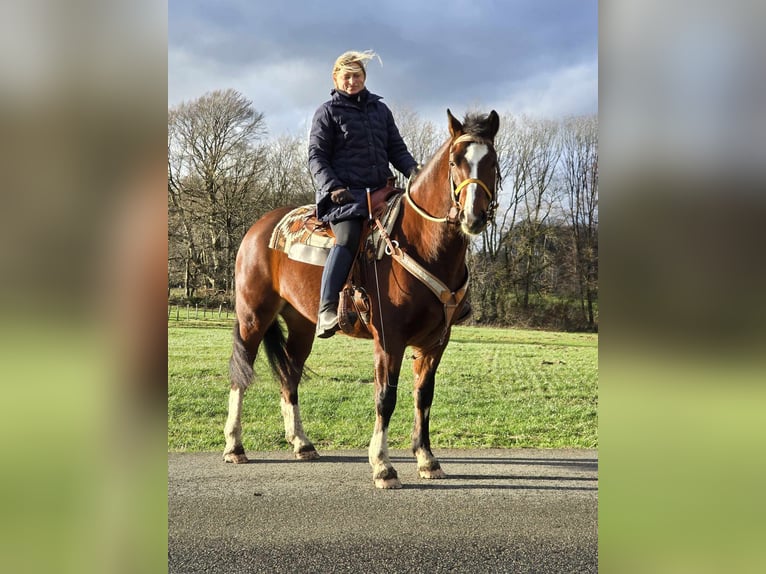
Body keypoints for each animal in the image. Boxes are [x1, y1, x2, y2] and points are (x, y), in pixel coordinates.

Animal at [224, 109, 498, 490]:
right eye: (455, 161)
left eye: (492, 161)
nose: (473, 216)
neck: (421, 243)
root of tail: (260, 227)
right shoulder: (389, 339)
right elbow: (386, 397)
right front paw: (383, 465)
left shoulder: (435, 342)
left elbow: (423, 395)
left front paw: (427, 459)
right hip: (253, 316)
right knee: (241, 373)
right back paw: (235, 445)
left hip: (301, 324)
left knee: (290, 375)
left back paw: (302, 443)